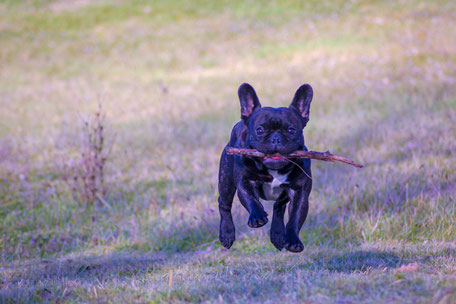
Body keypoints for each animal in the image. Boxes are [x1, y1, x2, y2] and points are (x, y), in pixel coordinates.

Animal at [218, 82, 314, 252]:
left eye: (291, 130)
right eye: (260, 130)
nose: (276, 138)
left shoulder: (299, 192)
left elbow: (295, 217)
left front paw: (293, 240)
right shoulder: (245, 181)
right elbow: (251, 199)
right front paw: (257, 217)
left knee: (279, 207)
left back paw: (277, 233)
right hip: (226, 180)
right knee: (224, 204)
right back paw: (227, 233)